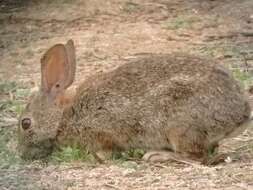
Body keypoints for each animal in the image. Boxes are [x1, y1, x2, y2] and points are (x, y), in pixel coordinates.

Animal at [17, 39, 251, 164]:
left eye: (25, 123)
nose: (21, 153)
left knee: (195, 156)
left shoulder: (101, 130)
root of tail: (241, 114)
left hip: (181, 126)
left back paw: (156, 155)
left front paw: (100, 157)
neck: (63, 116)